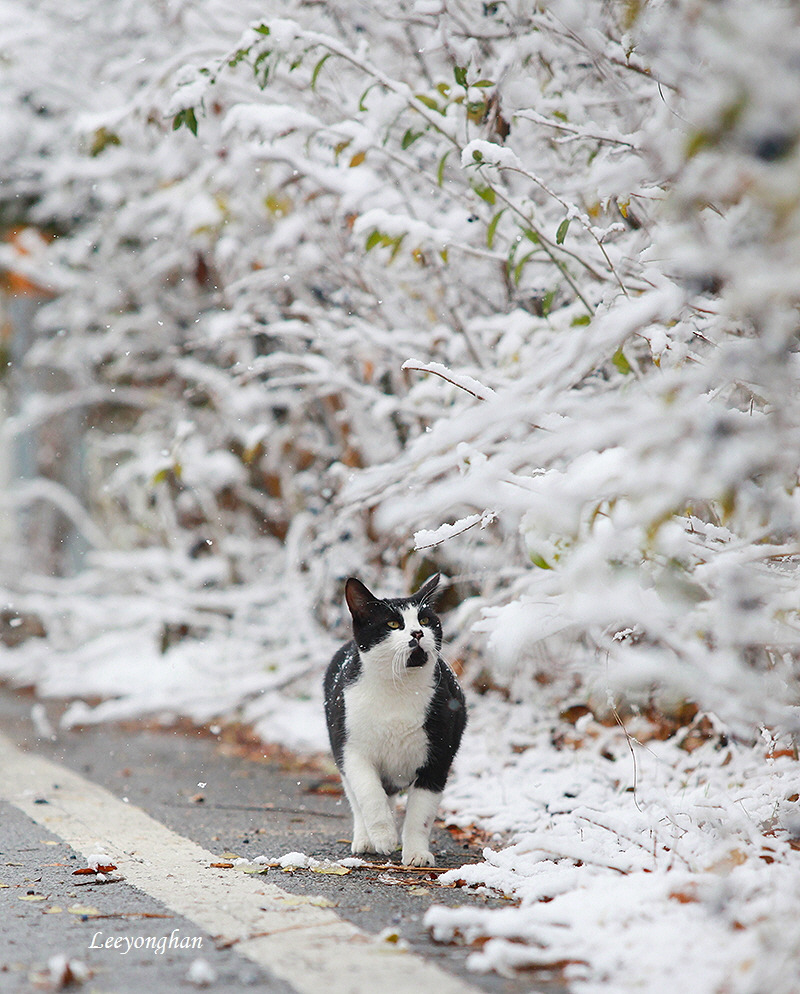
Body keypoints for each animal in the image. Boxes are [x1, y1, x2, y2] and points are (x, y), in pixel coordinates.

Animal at [322, 568, 466, 864]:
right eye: (392, 624)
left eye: (425, 619)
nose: (418, 632)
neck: (398, 688)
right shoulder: (352, 749)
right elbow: (369, 793)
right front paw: (384, 836)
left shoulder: (438, 757)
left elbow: (420, 814)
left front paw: (416, 854)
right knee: (358, 798)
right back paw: (365, 840)